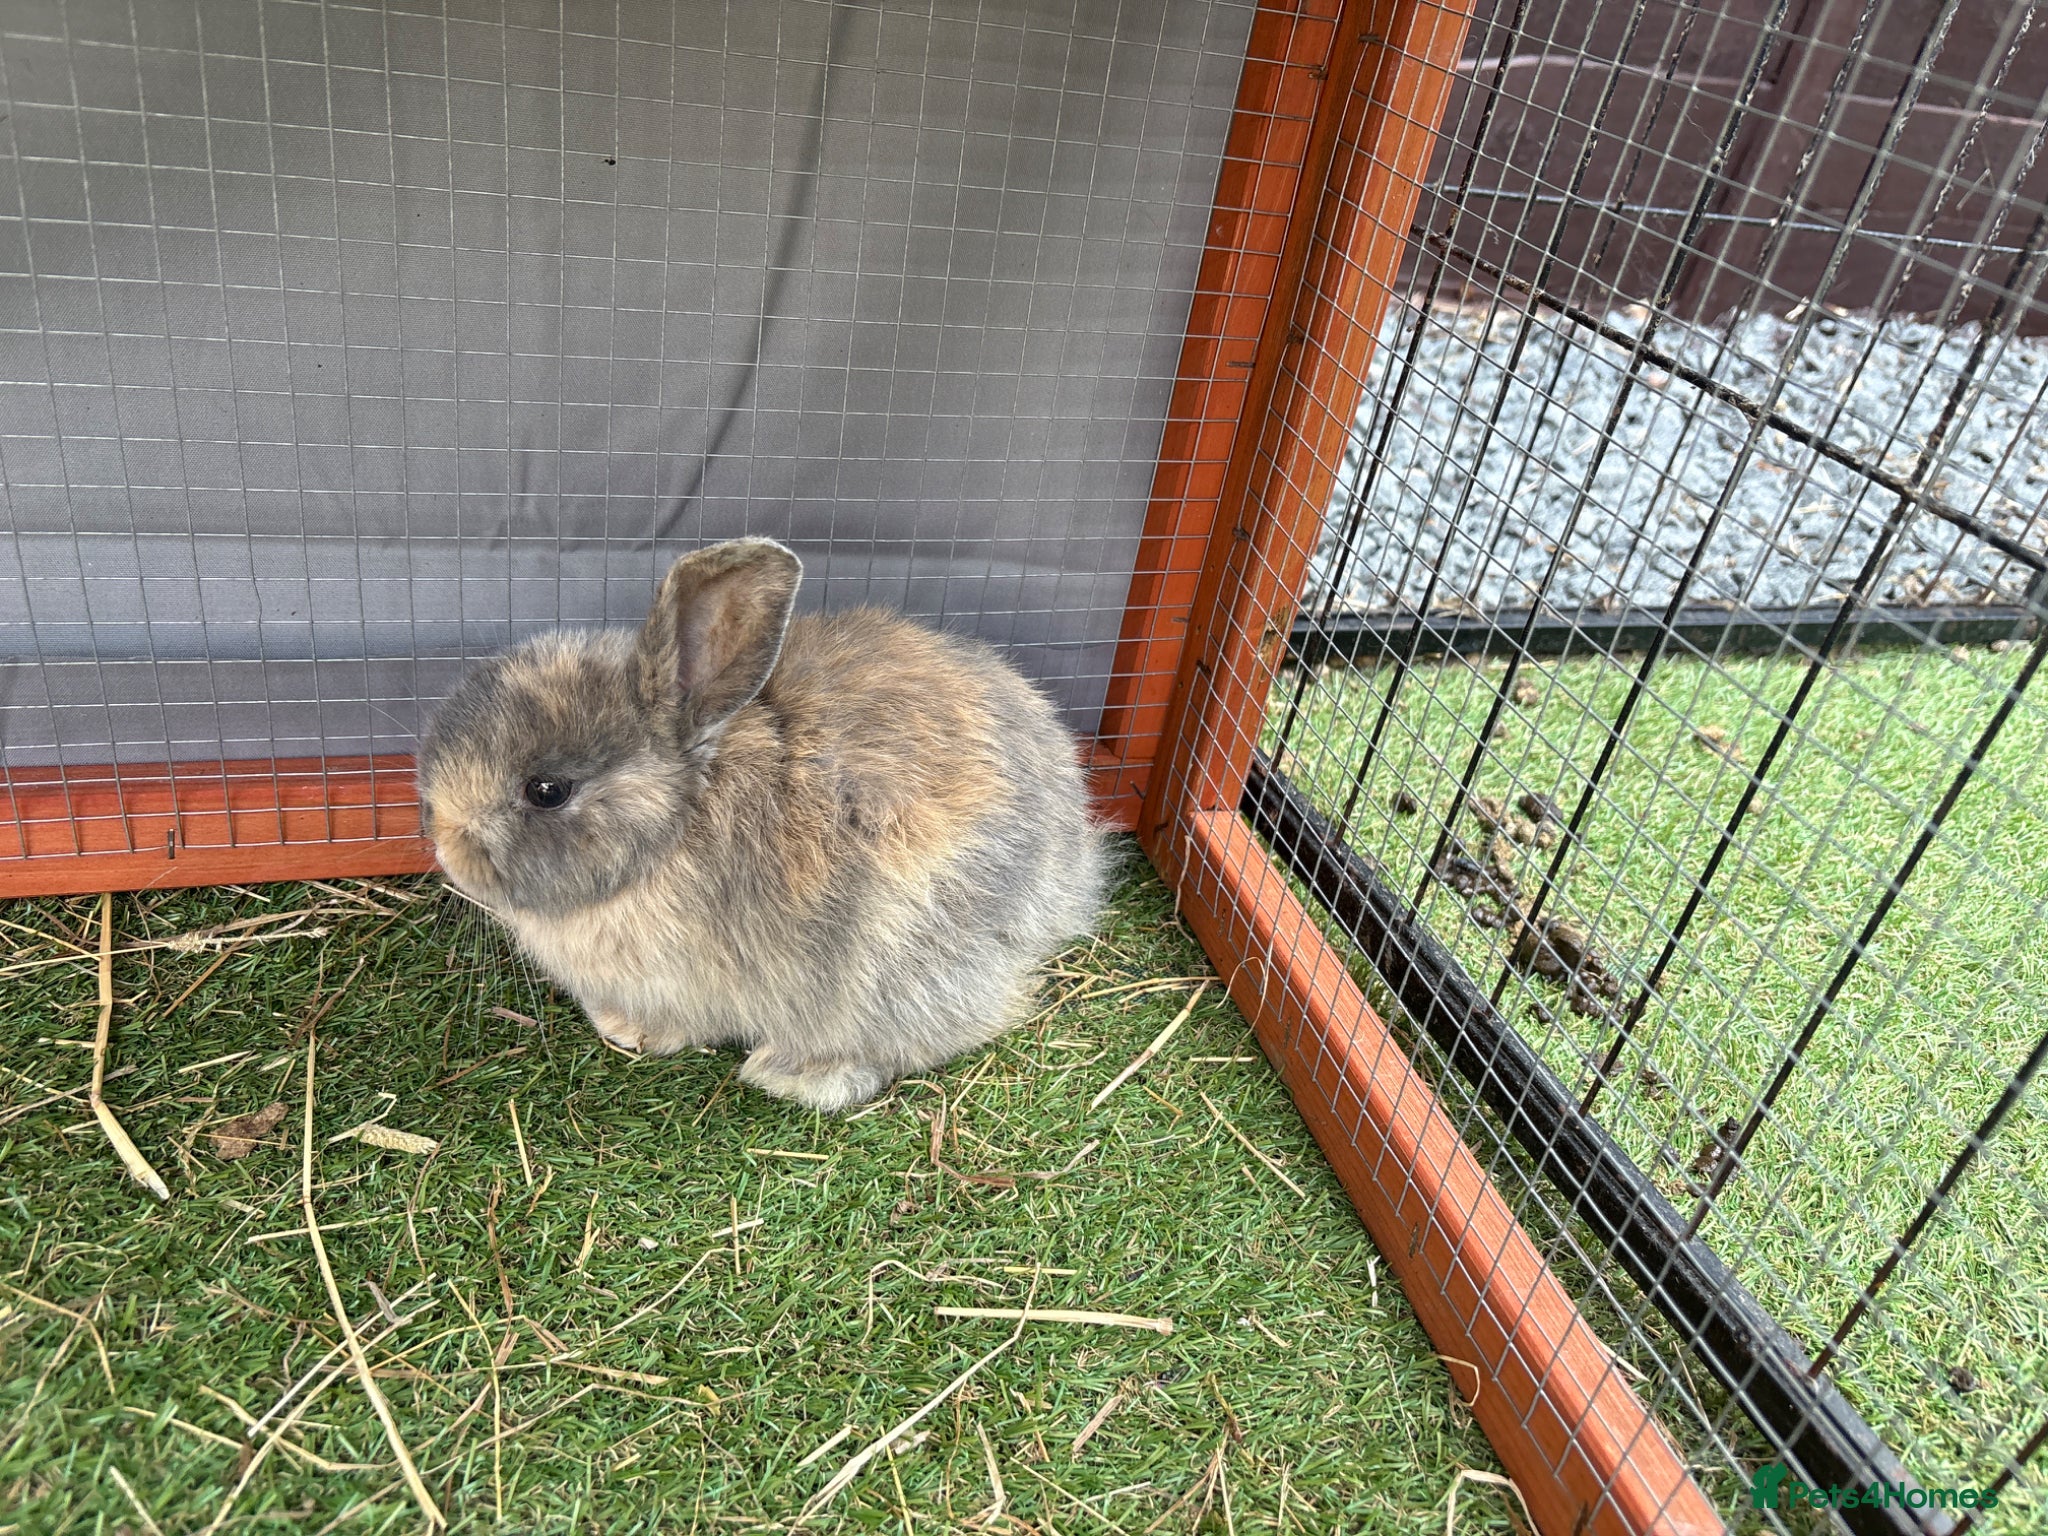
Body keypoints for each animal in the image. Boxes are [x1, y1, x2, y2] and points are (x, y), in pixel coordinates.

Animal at [416, 538, 1108, 1112]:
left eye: (547, 790)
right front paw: (626, 1028)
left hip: (915, 953)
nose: (446, 848)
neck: (675, 826)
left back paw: (796, 1074)